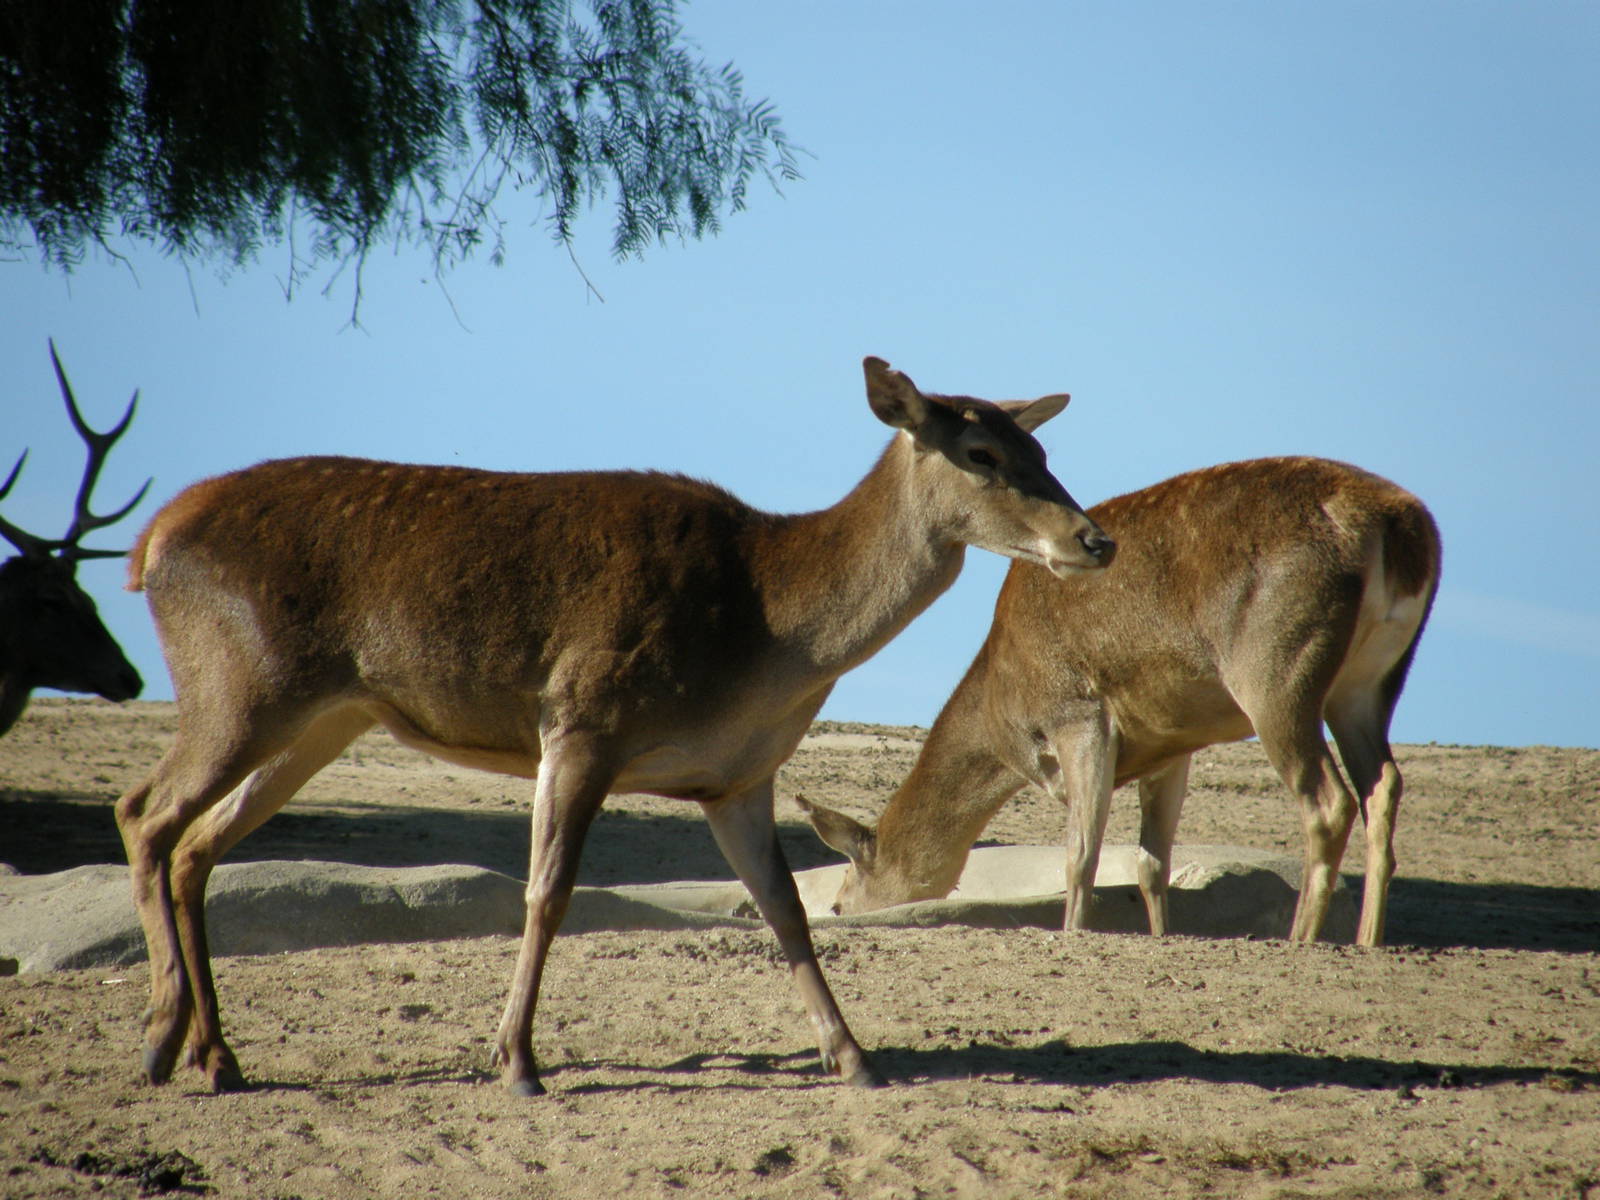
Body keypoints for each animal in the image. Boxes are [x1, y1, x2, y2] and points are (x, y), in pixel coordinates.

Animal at [113, 356, 1116, 1096]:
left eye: (1039, 443)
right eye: (981, 451)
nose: (1094, 540)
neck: (769, 634)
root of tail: (150, 539)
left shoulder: (737, 776)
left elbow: (787, 909)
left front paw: (856, 1059)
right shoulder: (581, 719)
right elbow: (548, 891)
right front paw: (516, 1062)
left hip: (322, 717)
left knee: (196, 842)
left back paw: (216, 1056)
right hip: (239, 685)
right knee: (146, 813)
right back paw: (160, 1042)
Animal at [801, 456, 1440, 948]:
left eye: (838, 903)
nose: (838, 911)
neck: (1003, 710)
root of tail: (1401, 526)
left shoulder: (1078, 714)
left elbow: (1080, 856)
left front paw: (1073, 933)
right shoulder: (1172, 744)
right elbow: (1151, 863)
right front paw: (1160, 934)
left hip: (1277, 670)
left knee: (1329, 799)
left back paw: (1302, 938)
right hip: (1370, 681)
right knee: (1383, 785)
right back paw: (1369, 938)